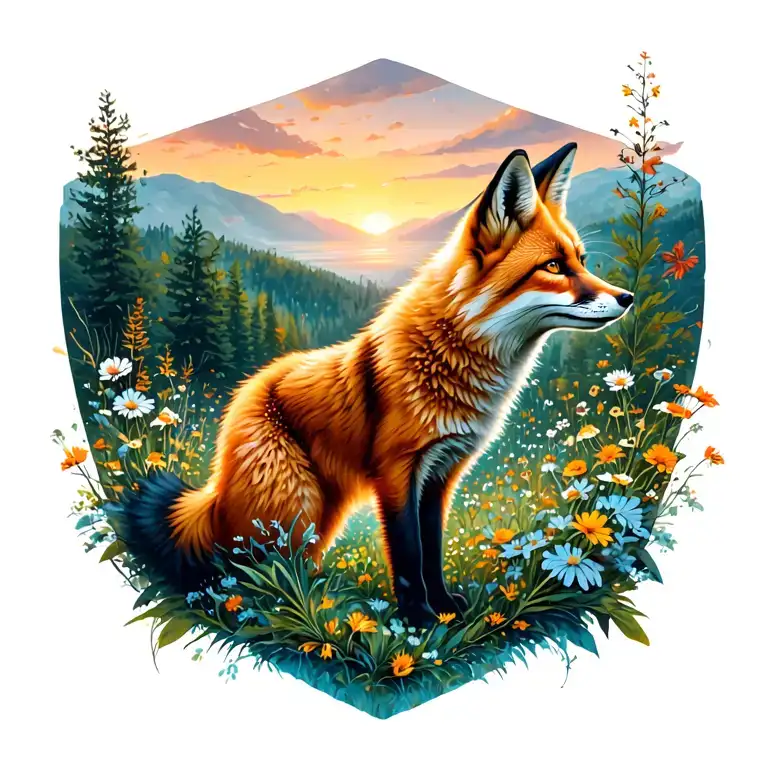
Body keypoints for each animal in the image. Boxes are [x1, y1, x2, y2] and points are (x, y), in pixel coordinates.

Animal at [119, 142, 633, 625]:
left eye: (581, 260)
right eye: (553, 267)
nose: (628, 297)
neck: (450, 355)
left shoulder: (440, 474)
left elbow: (432, 551)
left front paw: (443, 608)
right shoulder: (397, 472)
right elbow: (408, 556)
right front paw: (420, 619)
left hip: (321, 512)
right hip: (293, 505)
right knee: (242, 568)